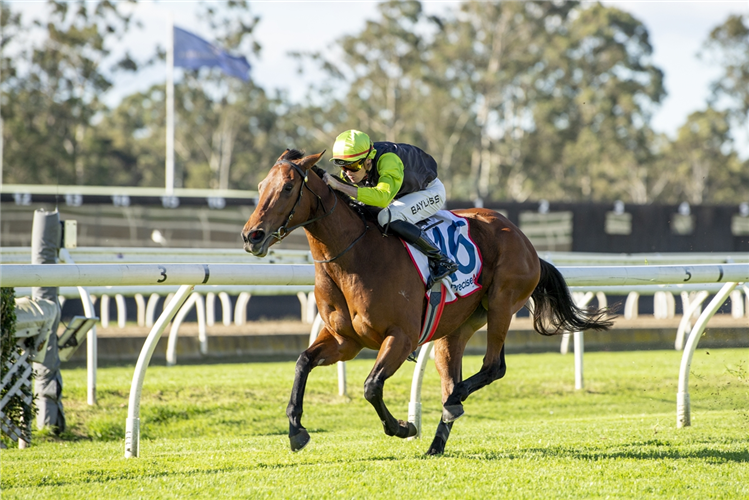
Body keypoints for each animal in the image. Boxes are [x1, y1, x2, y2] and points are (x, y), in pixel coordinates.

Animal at [241, 149, 612, 455]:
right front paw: (296, 431)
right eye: (260, 186)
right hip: (456, 329)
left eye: (288, 187)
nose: (251, 236)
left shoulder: (401, 337)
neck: (354, 256)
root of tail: (523, 238)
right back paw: (438, 440)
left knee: (493, 367)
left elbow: (371, 386)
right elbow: (303, 362)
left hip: (502, 303)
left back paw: (455, 400)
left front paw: (403, 427)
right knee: (455, 374)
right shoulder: (344, 341)